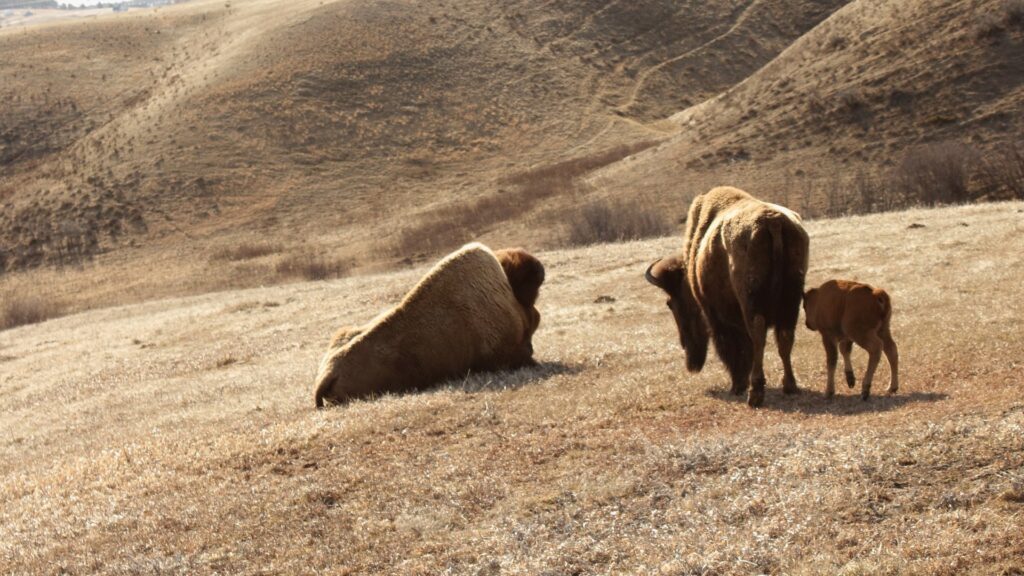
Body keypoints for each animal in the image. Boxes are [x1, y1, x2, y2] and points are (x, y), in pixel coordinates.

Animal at [647, 186, 806, 405]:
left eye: (671, 303)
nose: (687, 352)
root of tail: (772, 221)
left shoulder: (715, 314)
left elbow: (733, 347)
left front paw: (737, 385)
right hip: (792, 297)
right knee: (785, 337)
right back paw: (790, 386)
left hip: (751, 302)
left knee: (757, 335)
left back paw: (754, 393)